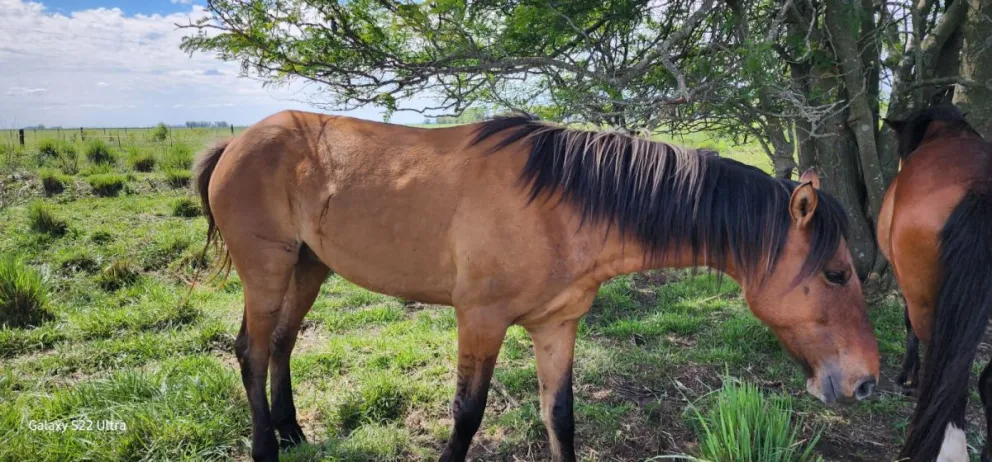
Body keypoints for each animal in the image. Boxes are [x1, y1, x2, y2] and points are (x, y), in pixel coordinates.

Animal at [193, 110, 880, 462]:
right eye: (836, 273)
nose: (867, 382)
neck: (562, 205)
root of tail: (237, 141)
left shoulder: (557, 326)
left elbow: (561, 416)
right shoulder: (480, 321)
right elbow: (467, 417)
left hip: (308, 268)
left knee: (282, 345)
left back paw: (293, 432)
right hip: (268, 271)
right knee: (252, 351)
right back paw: (266, 448)